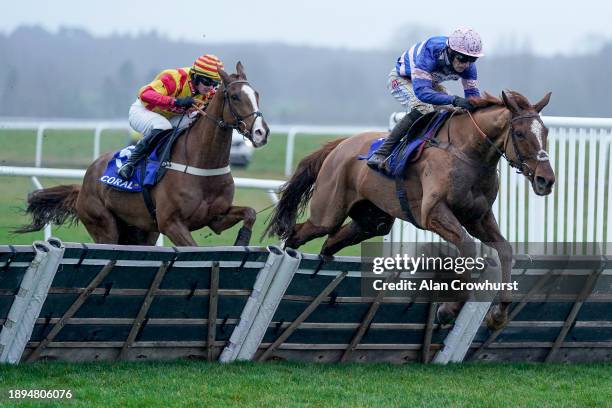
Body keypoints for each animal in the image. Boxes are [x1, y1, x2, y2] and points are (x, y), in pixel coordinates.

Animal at [16, 60, 268, 245]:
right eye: (235, 96)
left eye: (256, 94)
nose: (261, 132)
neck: (202, 164)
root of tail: (85, 181)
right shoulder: (171, 223)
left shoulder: (215, 218)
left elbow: (251, 213)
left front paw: (242, 240)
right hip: (104, 226)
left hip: (142, 230)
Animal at [266, 91, 556, 330]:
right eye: (520, 134)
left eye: (545, 132)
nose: (546, 180)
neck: (468, 154)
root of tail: (341, 144)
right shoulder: (433, 214)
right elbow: (467, 246)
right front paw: (449, 309)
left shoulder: (478, 217)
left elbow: (505, 250)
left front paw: (498, 314)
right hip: (327, 212)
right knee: (299, 233)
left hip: (373, 221)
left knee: (332, 241)